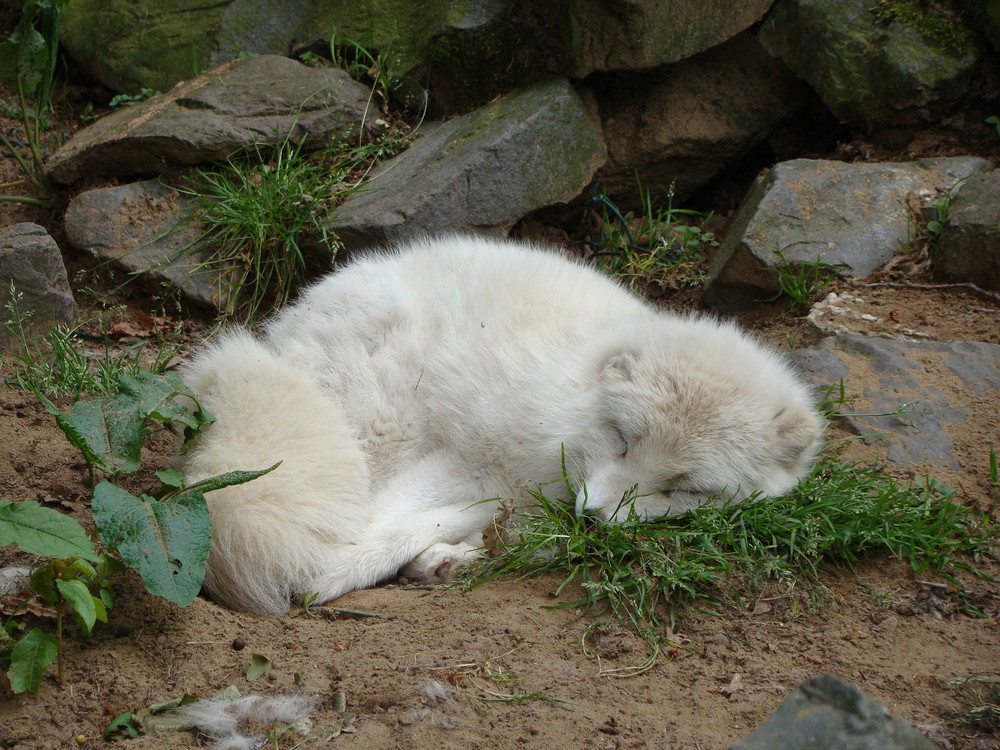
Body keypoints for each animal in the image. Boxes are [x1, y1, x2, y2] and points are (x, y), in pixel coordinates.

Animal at [184, 236, 824, 616]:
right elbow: (379, 524)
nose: (592, 519)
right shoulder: (473, 458)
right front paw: (327, 575)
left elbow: (422, 526)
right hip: (383, 424)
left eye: (683, 489)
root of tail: (281, 335)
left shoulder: (508, 489)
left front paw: (431, 557)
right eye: (622, 440)